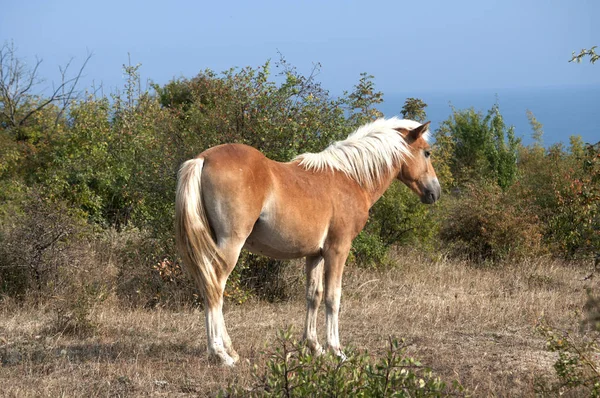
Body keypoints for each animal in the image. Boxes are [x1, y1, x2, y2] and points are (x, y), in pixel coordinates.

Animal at [173, 116, 440, 366]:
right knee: (215, 287)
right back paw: (221, 354)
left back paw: (231, 351)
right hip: (230, 245)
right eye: (427, 152)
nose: (435, 193)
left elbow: (314, 295)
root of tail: (203, 159)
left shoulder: (315, 254)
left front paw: (313, 347)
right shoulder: (338, 250)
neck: (351, 177)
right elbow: (333, 297)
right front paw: (336, 350)